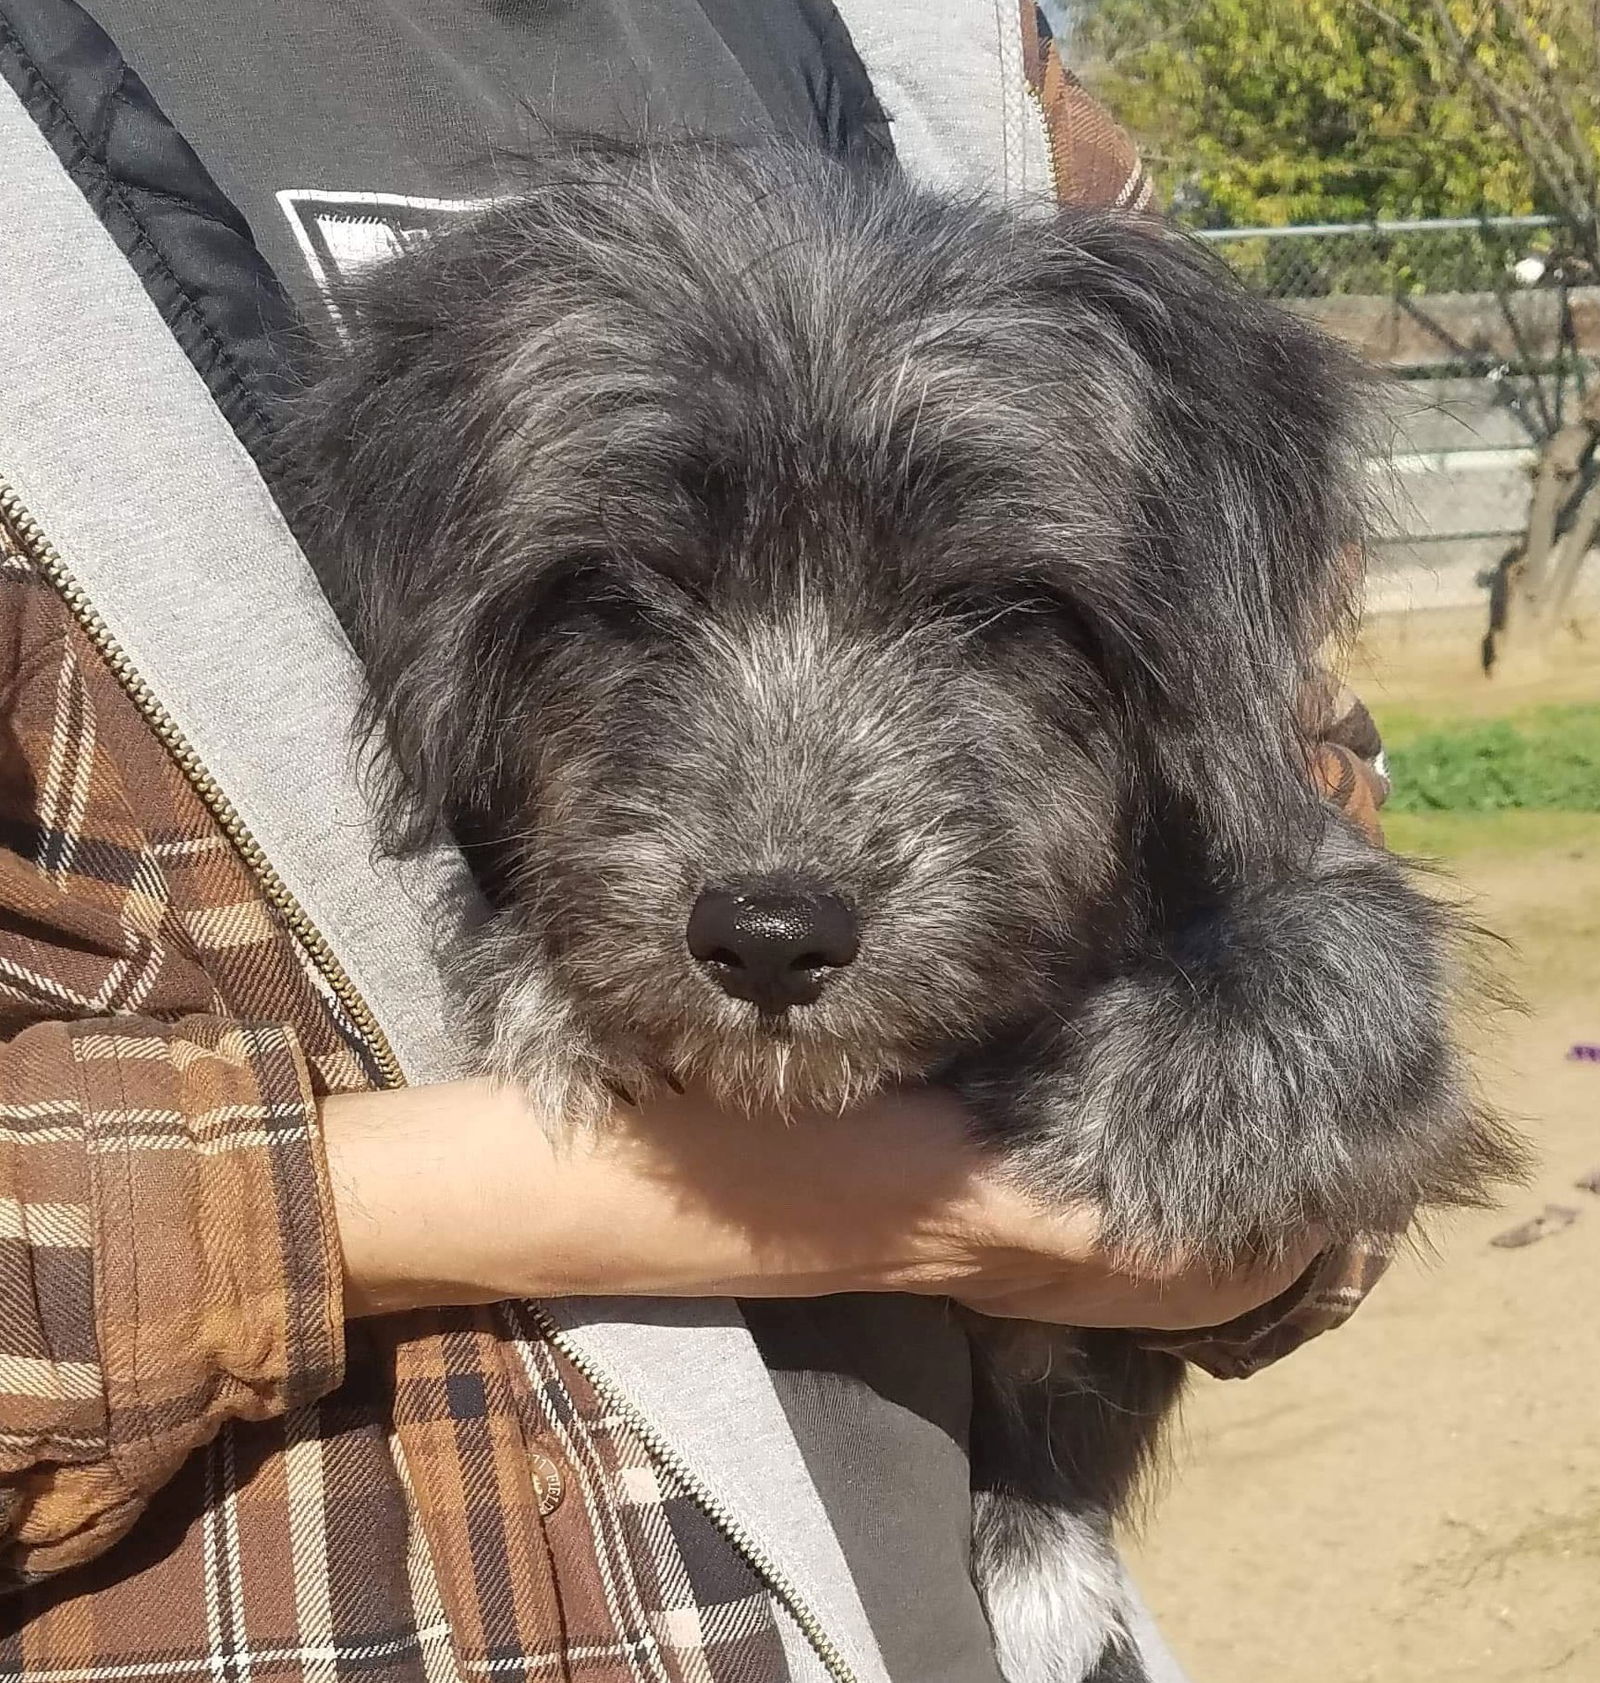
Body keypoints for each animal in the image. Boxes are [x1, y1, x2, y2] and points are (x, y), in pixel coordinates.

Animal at [280, 148, 1520, 1683]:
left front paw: (1204, 1076)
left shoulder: (1303, 849)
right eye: (614, 591)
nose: (767, 938)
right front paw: (557, 992)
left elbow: (1360, 951)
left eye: (998, 602)